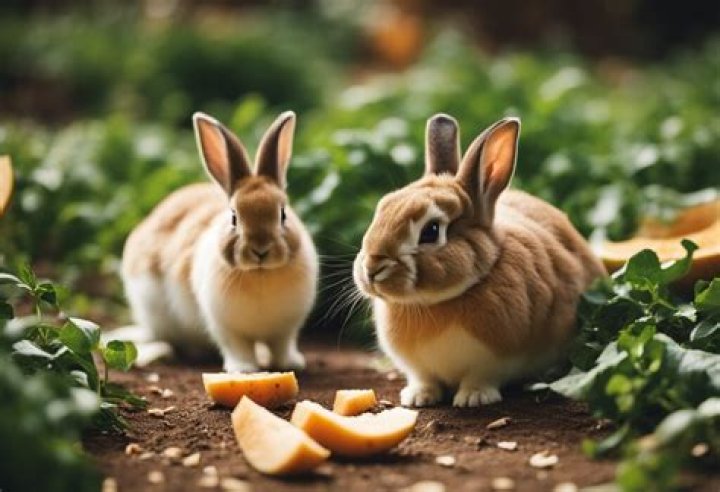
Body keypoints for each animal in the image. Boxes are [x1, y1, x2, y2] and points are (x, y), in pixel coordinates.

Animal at [121, 111, 318, 372]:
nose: (260, 250)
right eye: (234, 217)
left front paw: (291, 363)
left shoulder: (285, 330)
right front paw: (244, 369)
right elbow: (237, 347)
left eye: (283, 214)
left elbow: (281, 345)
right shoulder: (226, 328)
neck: (260, 274)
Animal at [353, 114, 606, 407]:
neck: (436, 303)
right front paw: (418, 398)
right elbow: (424, 379)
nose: (372, 269)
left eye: (431, 231)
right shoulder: (418, 368)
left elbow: (481, 378)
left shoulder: (495, 360)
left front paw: (473, 398)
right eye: (382, 207)